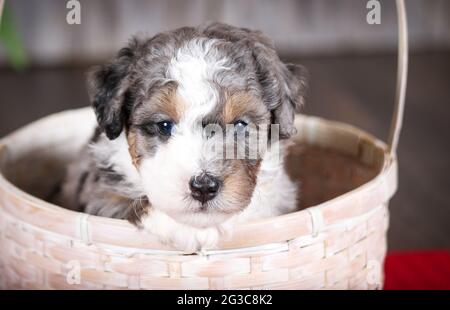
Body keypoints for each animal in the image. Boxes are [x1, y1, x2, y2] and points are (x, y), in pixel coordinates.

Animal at [59, 23, 308, 252]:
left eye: (240, 124)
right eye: (164, 125)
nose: (204, 187)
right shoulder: (98, 190)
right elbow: (117, 198)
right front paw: (185, 227)